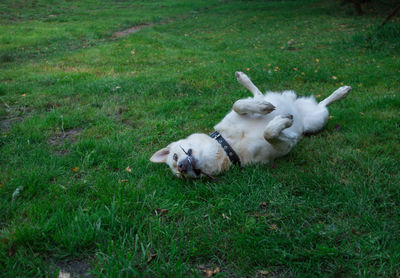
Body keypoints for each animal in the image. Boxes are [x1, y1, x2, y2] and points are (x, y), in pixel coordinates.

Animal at [150, 71, 350, 178]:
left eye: (175, 156)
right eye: (183, 176)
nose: (182, 167)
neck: (227, 146)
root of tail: (298, 103)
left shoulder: (239, 112)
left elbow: (237, 104)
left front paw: (264, 108)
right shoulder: (286, 145)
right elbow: (270, 133)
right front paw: (283, 121)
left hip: (317, 118)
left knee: (258, 93)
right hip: (317, 120)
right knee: (323, 104)